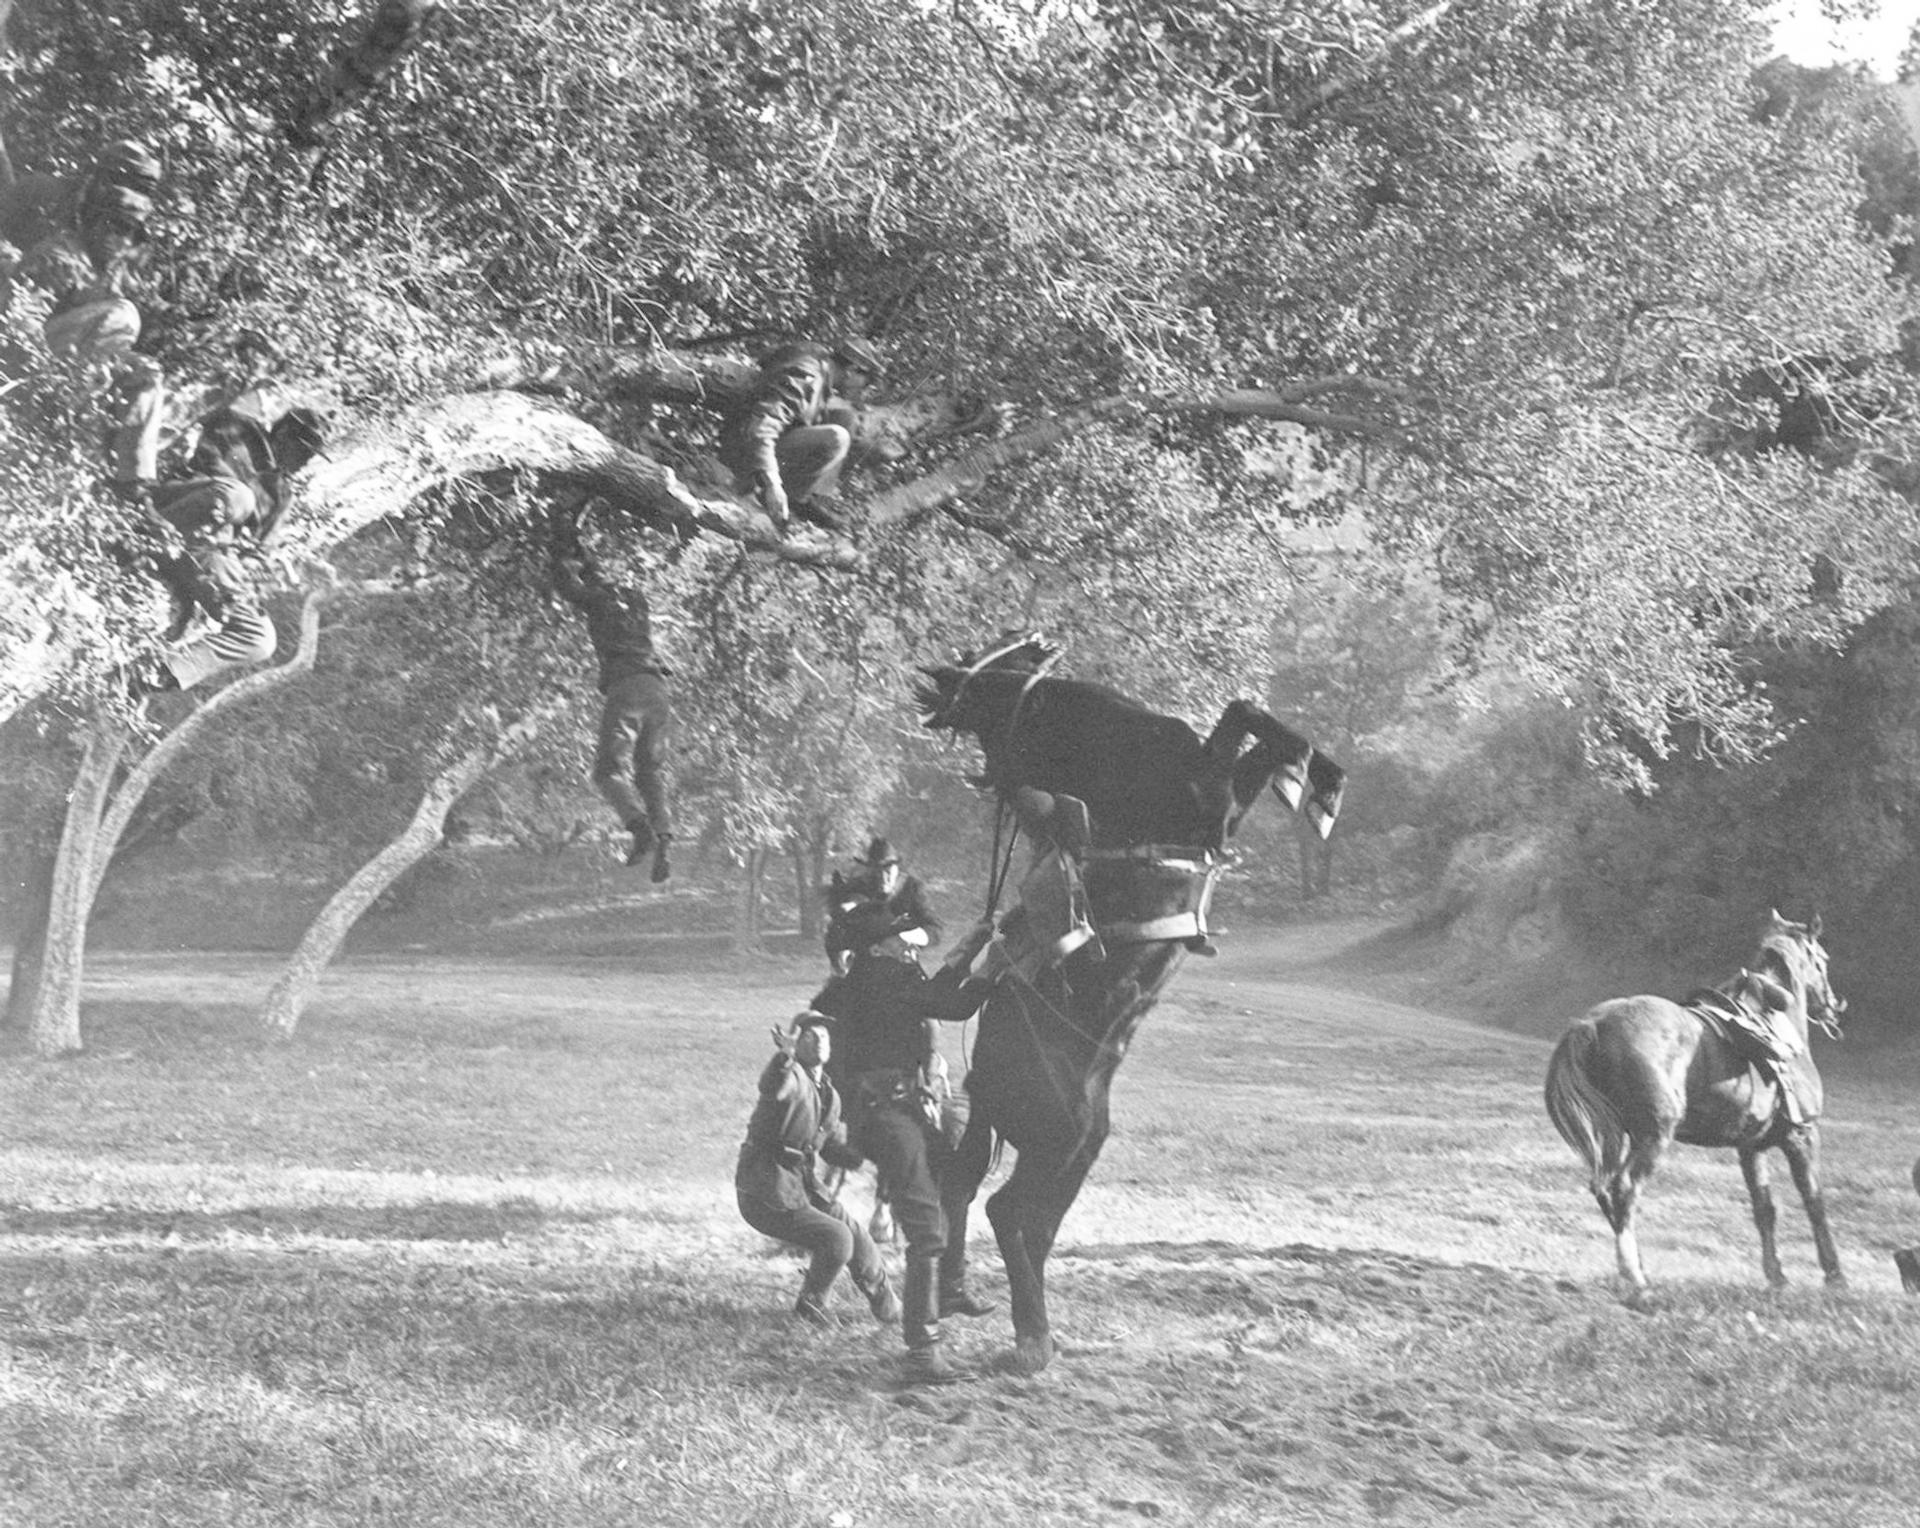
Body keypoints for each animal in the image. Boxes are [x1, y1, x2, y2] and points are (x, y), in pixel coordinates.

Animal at [922, 635, 1345, 1372]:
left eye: (992, 665)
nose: (934, 688)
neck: (1115, 748)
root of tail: (988, 1077)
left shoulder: (1217, 803)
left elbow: (1254, 732)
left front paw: (1315, 778)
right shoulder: (1210, 797)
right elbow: (1245, 720)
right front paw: (1315, 783)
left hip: (1077, 1145)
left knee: (1012, 1211)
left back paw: (1009, 1316)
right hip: (1059, 1136)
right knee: (1008, 1211)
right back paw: (1033, 1338)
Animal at [1543, 910, 1847, 1295]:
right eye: (1822, 960)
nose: (1833, 1007)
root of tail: (1592, 1024)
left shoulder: (1750, 1147)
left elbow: (1764, 1208)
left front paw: (1776, 1275)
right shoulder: (1802, 1136)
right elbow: (1814, 1201)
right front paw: (1835, 1275)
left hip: (1620, 1136)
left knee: (1605, 1190)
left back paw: (1638, 1269)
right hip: (1653, 1136)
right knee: (1623, 1189)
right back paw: (1634, 1275)